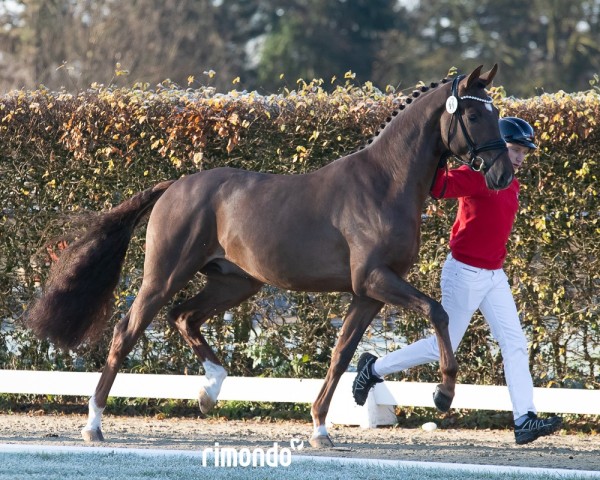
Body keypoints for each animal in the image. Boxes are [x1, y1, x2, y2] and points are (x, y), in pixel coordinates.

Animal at [25, 63, 512, 446]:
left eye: (495, 113)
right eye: (473, 113)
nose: (503, 174)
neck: (385, 183)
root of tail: (174, 185)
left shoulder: (368, 293)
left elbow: (342, 352)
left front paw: (320, 428)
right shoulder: (375, 279)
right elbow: (437, 312)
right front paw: (443, 394)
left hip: (234, 281)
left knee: (184, 316)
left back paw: (210, 391)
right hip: (164, 276)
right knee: (127, 331)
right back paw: (94, 423)